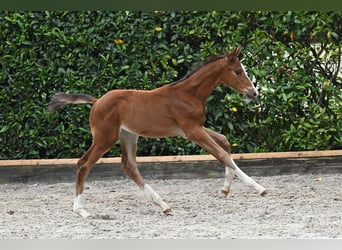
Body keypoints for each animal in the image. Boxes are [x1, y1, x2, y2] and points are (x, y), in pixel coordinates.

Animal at [48, 47, 268, 218]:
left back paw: (164, 206)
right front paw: (259, 188)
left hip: (128, 136)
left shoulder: (191, 129)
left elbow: (224, 142)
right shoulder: (192, 131)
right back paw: (81, 210)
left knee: (129, 166)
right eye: (238, 71)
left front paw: (225, 189)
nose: (254, 93)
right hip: (105, 138)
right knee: (84, 163)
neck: (188, 94)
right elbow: (221, 154)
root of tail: (96, 102)